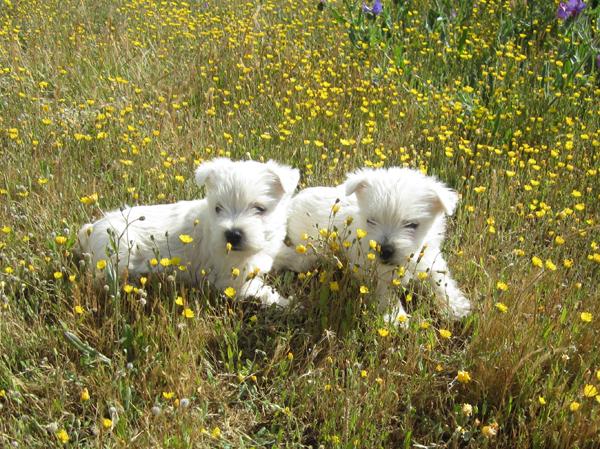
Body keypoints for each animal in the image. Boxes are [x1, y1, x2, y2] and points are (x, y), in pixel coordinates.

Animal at [77, 156, 298, 306]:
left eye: (259, 209)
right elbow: (263, 291)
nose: (232, 235)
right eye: (218, 208)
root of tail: (91, 229)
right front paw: (288, 303)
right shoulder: (231, 280)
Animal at [274, 166, 472, 324]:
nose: (385, 250)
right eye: (371, 221)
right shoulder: (377, 272)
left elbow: (440, 281)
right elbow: (387, 294)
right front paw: (397, 318)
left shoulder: (429, 257)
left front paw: (455, 307)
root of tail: (292, 201)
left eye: (412, 225)